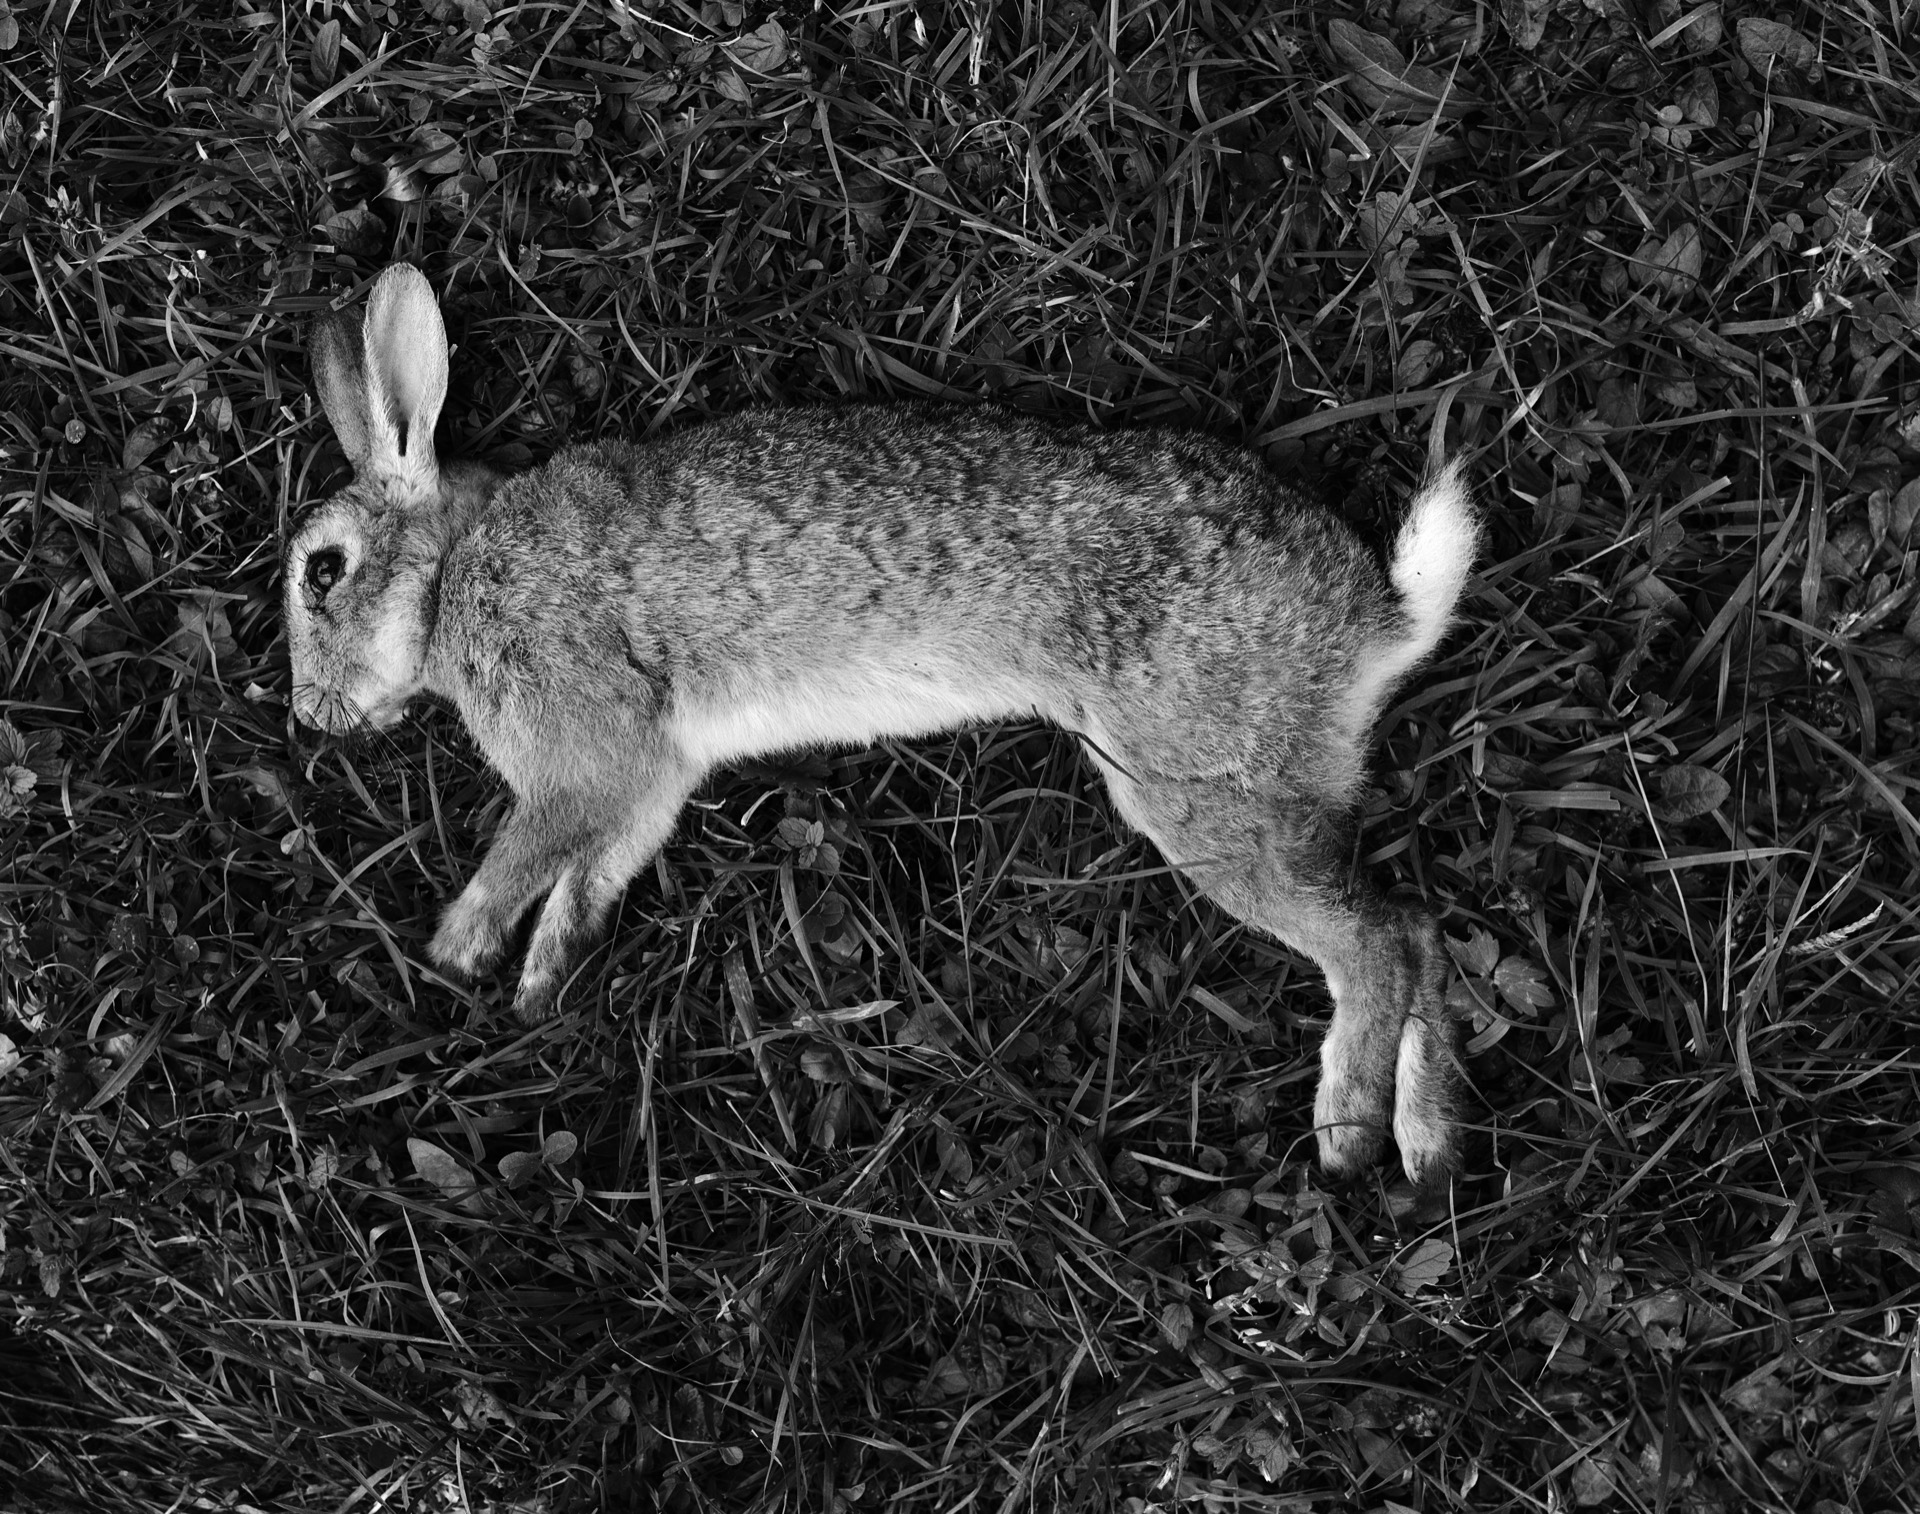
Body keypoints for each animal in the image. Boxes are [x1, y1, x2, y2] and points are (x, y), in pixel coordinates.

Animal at [284, 263, 1480, 1185]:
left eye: (321, 572)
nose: (311, 715)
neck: (454, 572)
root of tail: (1378, 620)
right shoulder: (653, 775)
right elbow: (594, 867)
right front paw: (541, 978)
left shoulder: (583, 743)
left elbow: (532, 845)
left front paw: (456, 949)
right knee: (1417, 932)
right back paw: (1427, 1150)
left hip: (1198, 787)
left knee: (1378, 941)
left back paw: (1348, 1139)